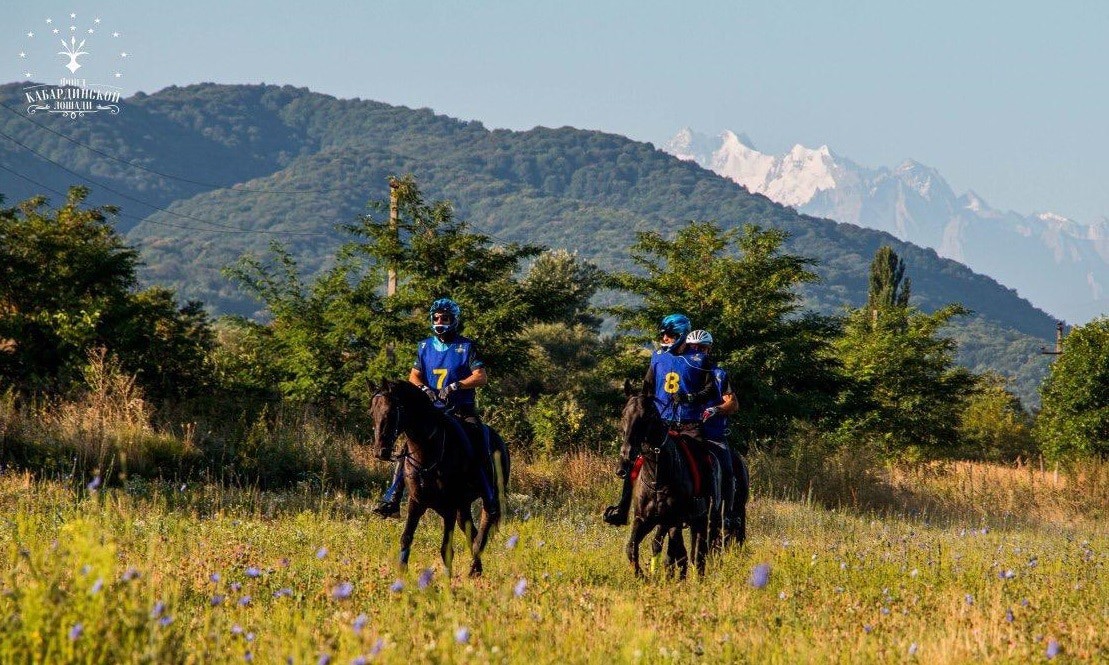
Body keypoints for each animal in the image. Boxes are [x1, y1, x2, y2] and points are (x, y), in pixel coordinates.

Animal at [372, 379, 510, 576]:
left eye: (391, 412)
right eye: (372, 413)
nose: (380, 451)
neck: (427, 451)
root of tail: (501, 442)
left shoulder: (449, 507)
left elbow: (446, 549)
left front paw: (447, 579)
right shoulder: (416, 502)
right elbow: (406, 537)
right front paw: (401, 573)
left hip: (488, 497)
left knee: (483, 528)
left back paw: (474, 567)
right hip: (463, 506)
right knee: (472, 531)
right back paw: (476, 568)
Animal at [621, 381, 714, 580]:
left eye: (646, 416)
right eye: (624, 414)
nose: (627, 453)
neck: (656, 476)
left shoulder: (669, 518)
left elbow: (659, 545)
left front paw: (654, 573)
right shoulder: (643, 518)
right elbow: (631, 547)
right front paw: (642, 575)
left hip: (700, 518)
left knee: (697, 551)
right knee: (681, 551)